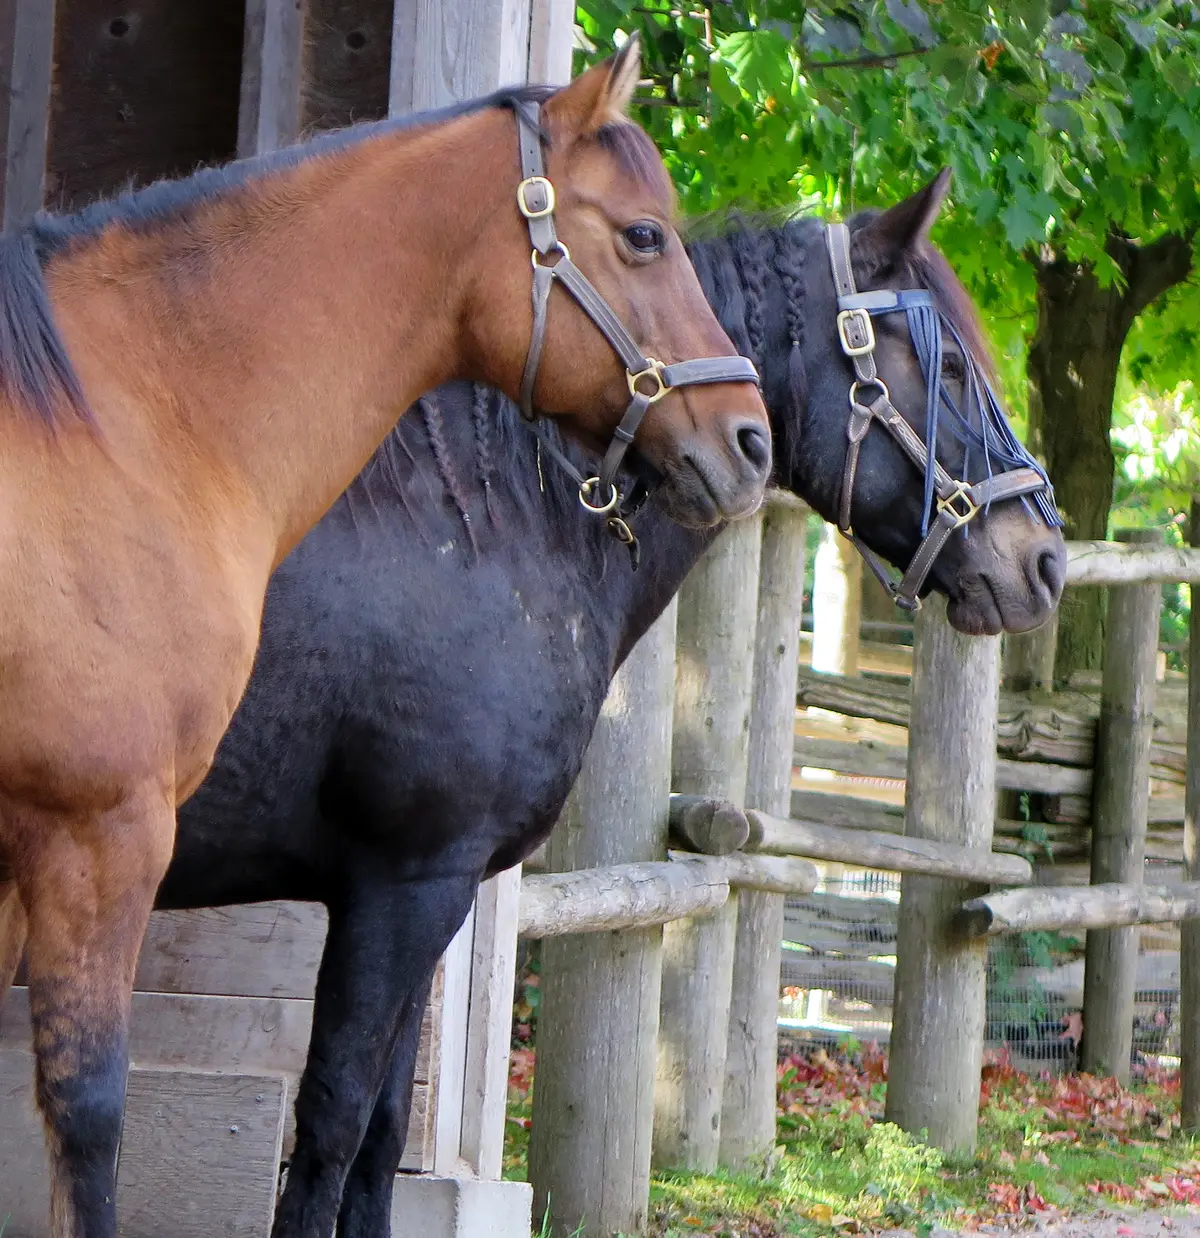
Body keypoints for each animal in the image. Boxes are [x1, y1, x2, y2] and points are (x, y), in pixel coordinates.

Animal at [4, 176, 1065, 1237]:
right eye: (952, 366)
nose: (1045, 561)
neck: (490, 521)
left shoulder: (424, 893)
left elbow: (380, 1133)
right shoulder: (405, 882)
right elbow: (334, 1122)